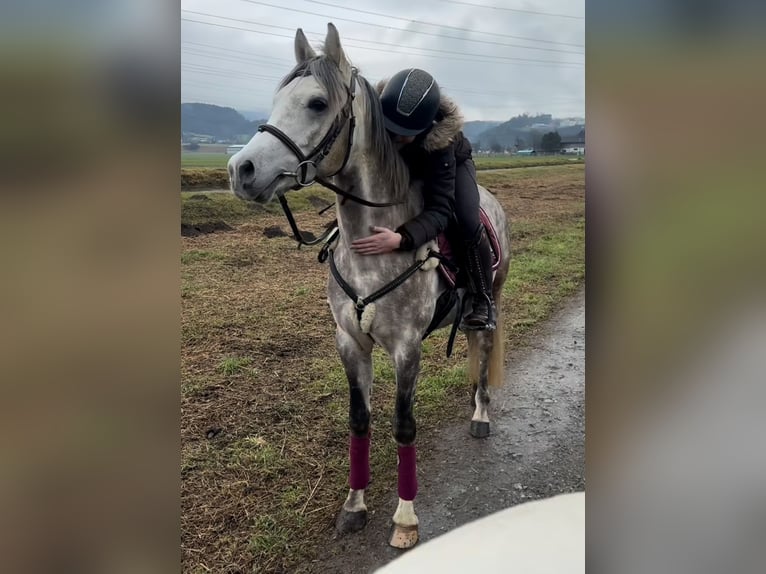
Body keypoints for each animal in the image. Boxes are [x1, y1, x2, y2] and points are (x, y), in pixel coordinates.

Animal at [231, 22, 512, 552]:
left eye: (317, 103)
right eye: (278, 97)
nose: (241, 170)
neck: (370, 246)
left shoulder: (406, 348)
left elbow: (404, 426)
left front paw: (405, 518)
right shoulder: (350, 343)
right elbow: (358, 421)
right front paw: (354, 506)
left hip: (491, 300)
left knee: (483, 346)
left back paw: (481, 414)